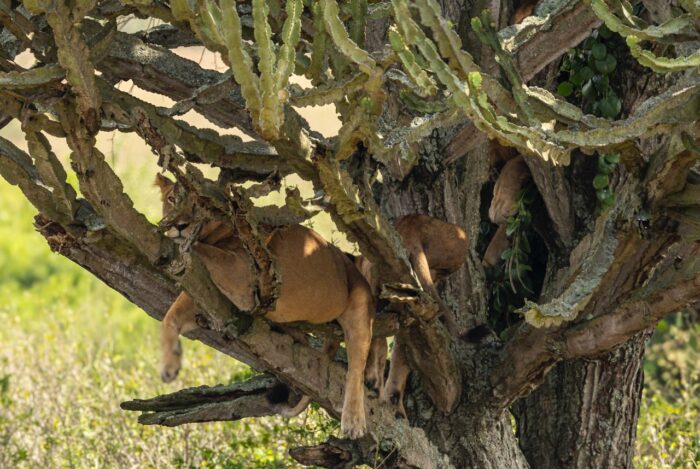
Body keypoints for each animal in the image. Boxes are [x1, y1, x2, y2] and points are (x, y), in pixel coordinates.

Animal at [154, 174, 374, 438]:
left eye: (199, 203)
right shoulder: (209, 291)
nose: (178, 225)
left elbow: (200, 249)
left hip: (359, 309)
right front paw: (170, 365)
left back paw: (353, 422)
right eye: (171, 198)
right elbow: (171, 316)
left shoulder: (241, 276)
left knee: (356, 370)